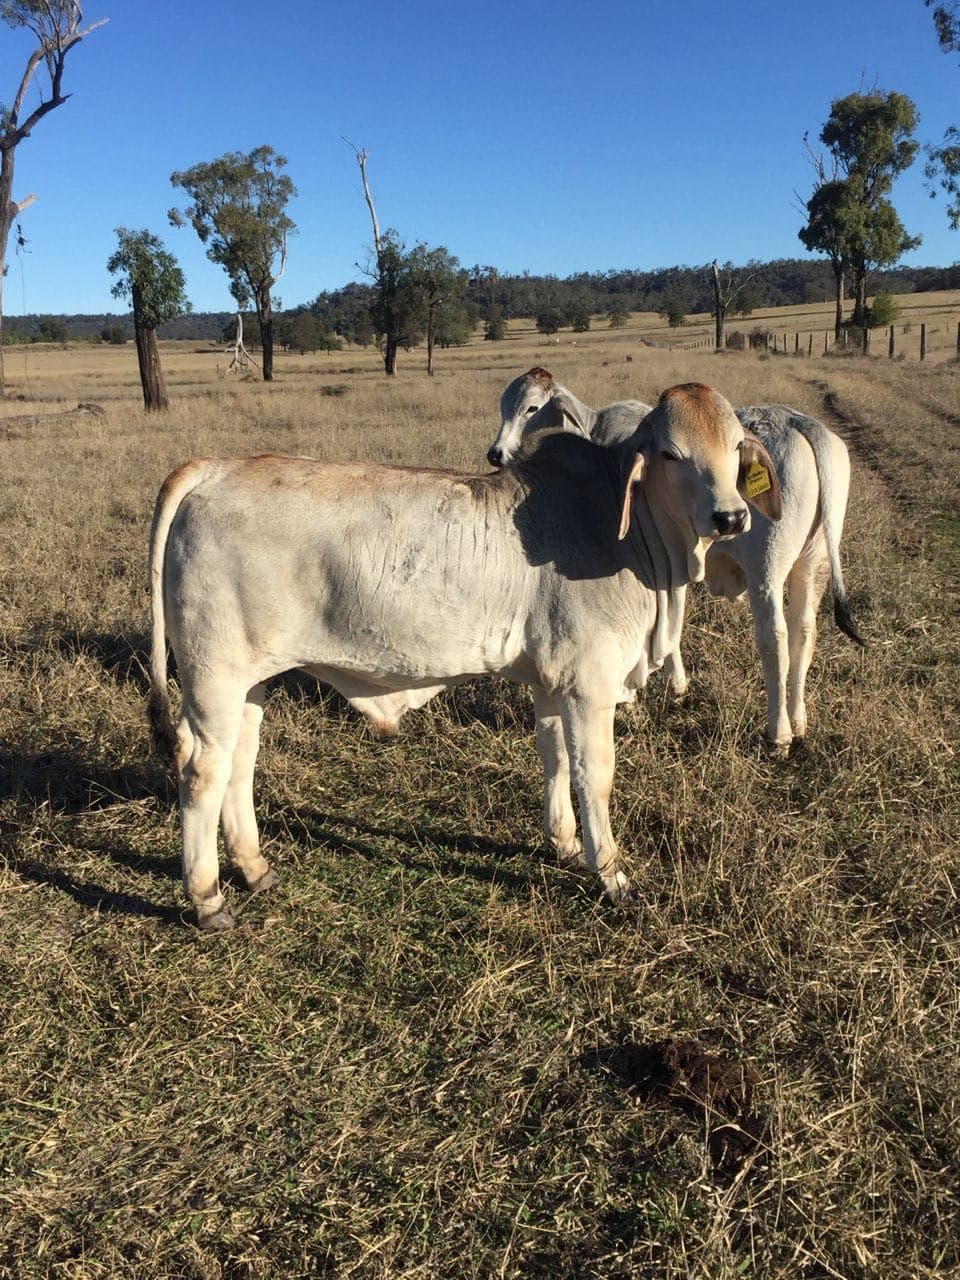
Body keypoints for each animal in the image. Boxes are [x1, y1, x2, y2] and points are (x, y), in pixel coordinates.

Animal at [148, 383, 781, 929]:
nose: (731, 516)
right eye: (672, 454)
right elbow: (593, 775)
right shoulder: (589, 685)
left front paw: (563, 841)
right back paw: (207, 897)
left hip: (251, 681)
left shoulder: (550, 682)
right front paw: (611, 874)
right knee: (202, 770)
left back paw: (255, 868)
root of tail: (215, 467)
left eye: (734, 448)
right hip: (213, 678)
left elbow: (554, 758)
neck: (622, 527)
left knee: (241, 761)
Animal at [488, 369, 864, 752]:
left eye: (532, 408)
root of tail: (802, 423)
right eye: (505, 405)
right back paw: (798, 721)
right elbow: (675, 622)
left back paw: (779, 732)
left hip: (767, 568)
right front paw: (678, 685)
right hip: (813, 562)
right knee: (804, 632)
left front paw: (632, 696)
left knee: (774, 638)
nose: (496, 454)